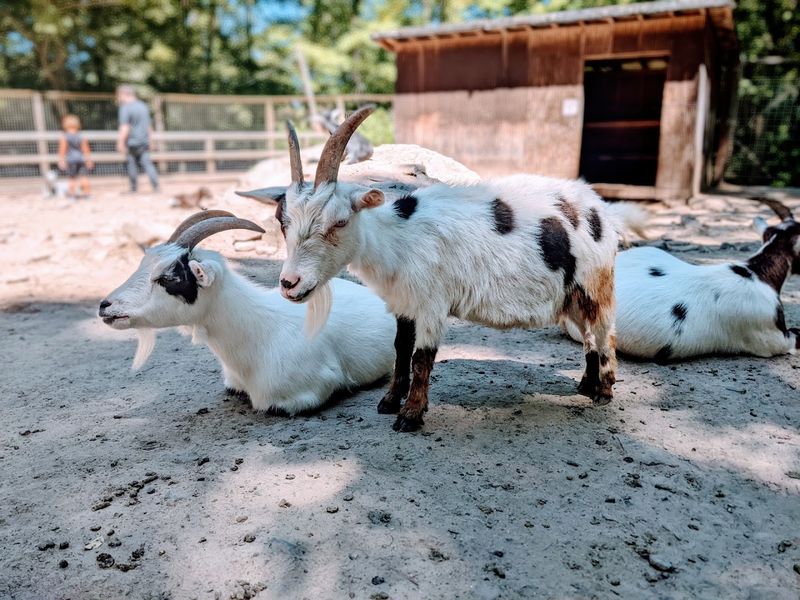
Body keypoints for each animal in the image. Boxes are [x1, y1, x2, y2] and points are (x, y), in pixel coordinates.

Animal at [243, 106, 642, 432]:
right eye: (282, 222)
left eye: (339, 222)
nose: (290, 283)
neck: (397, 237)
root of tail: (602, 209)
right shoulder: (403, 302)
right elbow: (401, 349)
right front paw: (389, 402)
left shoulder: (432, 302)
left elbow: (422, 357)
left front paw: (410, 416)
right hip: (569, 295)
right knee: (588, 335)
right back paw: (586, 385)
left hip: (595, 283)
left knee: (605, 332)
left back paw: (604, 392)